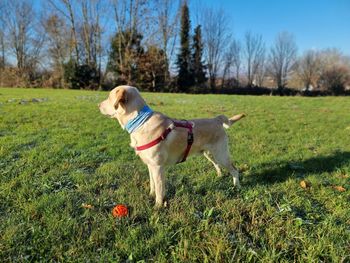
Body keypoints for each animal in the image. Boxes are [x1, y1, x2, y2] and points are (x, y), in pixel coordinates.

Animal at [98, 85, 245, 207]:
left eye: (108, 97)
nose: (98, 105)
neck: (140, 122)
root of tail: (216, 119)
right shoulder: (150, 165)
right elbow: (152, 183)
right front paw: (151, 195)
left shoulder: (158, 167)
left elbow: (159, 189)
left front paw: (157, 207)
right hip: (209, 154)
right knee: (217, 165)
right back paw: (219, 176)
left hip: (221, 154)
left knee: (234, 169)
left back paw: (237, 187)